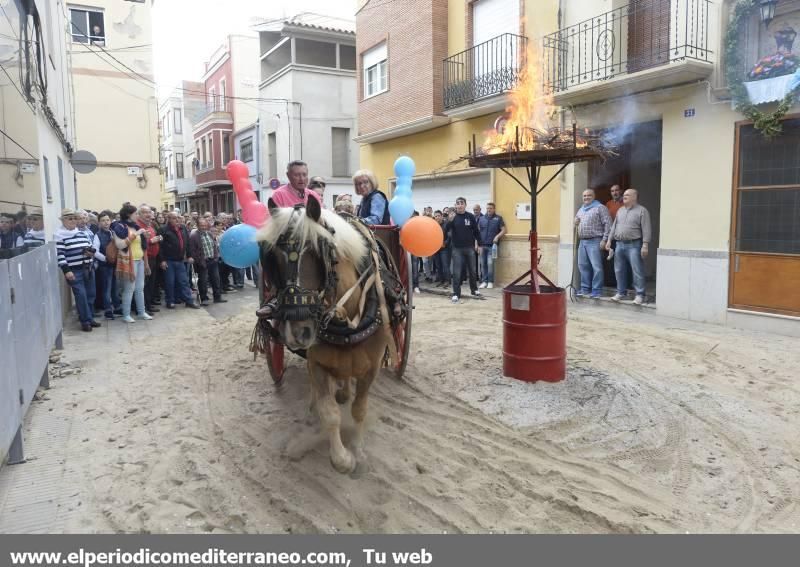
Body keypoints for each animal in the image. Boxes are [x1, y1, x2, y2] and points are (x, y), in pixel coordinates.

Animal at [255, 197, 396, 472]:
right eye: (272, 259)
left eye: (317, 252)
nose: (298, 331)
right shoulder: (317, 364)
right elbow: (329, 412)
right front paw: (342, 459)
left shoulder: (372, 367)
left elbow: (359, 409)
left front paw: (358, 450)